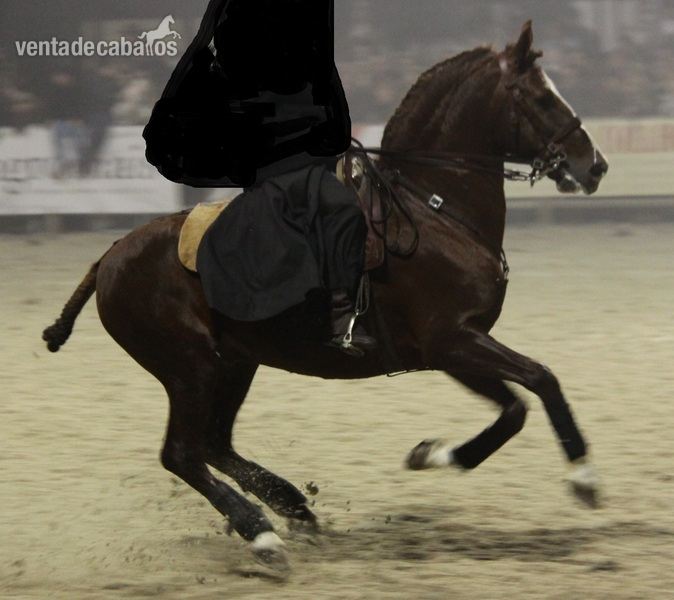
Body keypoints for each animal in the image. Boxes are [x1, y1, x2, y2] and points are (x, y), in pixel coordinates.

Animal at [43, 22, 608, 570]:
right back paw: (261, 533)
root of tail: (110, 258)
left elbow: (513, 410)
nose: (595, 165)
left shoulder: (451, 349)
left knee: (213, 444)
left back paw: (292, 506)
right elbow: (542, 381)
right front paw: (583, 478)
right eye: (540, 99)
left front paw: (431, 454)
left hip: (234, 362)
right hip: (189, 366)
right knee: (183, 453)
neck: (434, 209)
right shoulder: (452, 340)